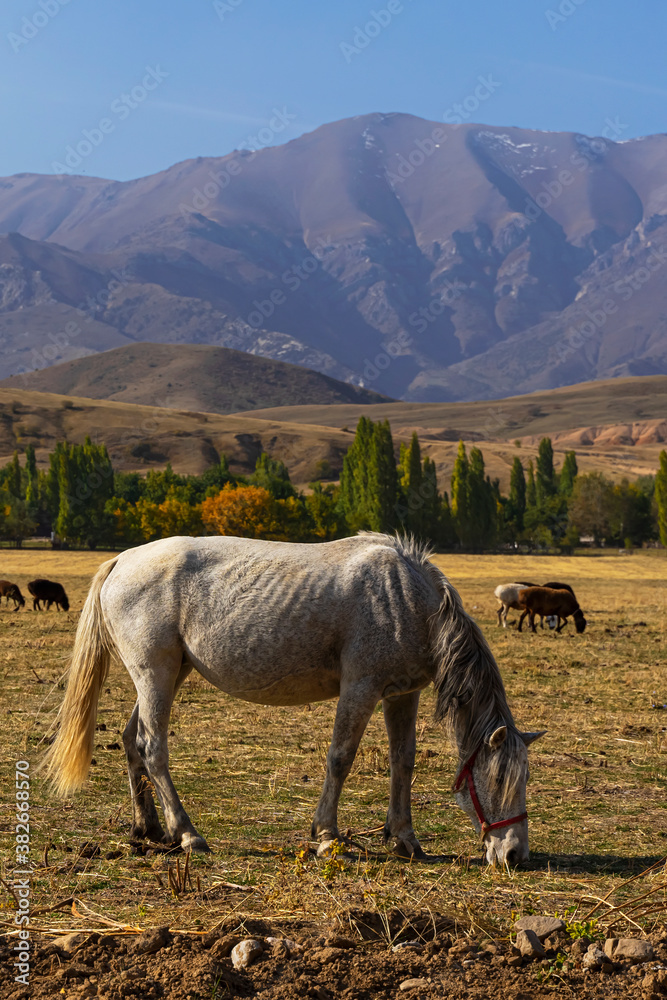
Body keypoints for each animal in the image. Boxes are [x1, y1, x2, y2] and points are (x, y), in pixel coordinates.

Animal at [43, 533, 545, 865]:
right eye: (500, 779)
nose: (515, 854)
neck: (409, 599)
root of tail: (123, 559)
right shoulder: (360, 688)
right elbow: (340, 758)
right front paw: (326, 836)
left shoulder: (402, 695)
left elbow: (403, 761)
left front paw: (404, 838)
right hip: (156, 674)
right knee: (152, 748)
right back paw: (187, 834)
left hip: (167, 674)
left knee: (132, 740)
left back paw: (148, 829)